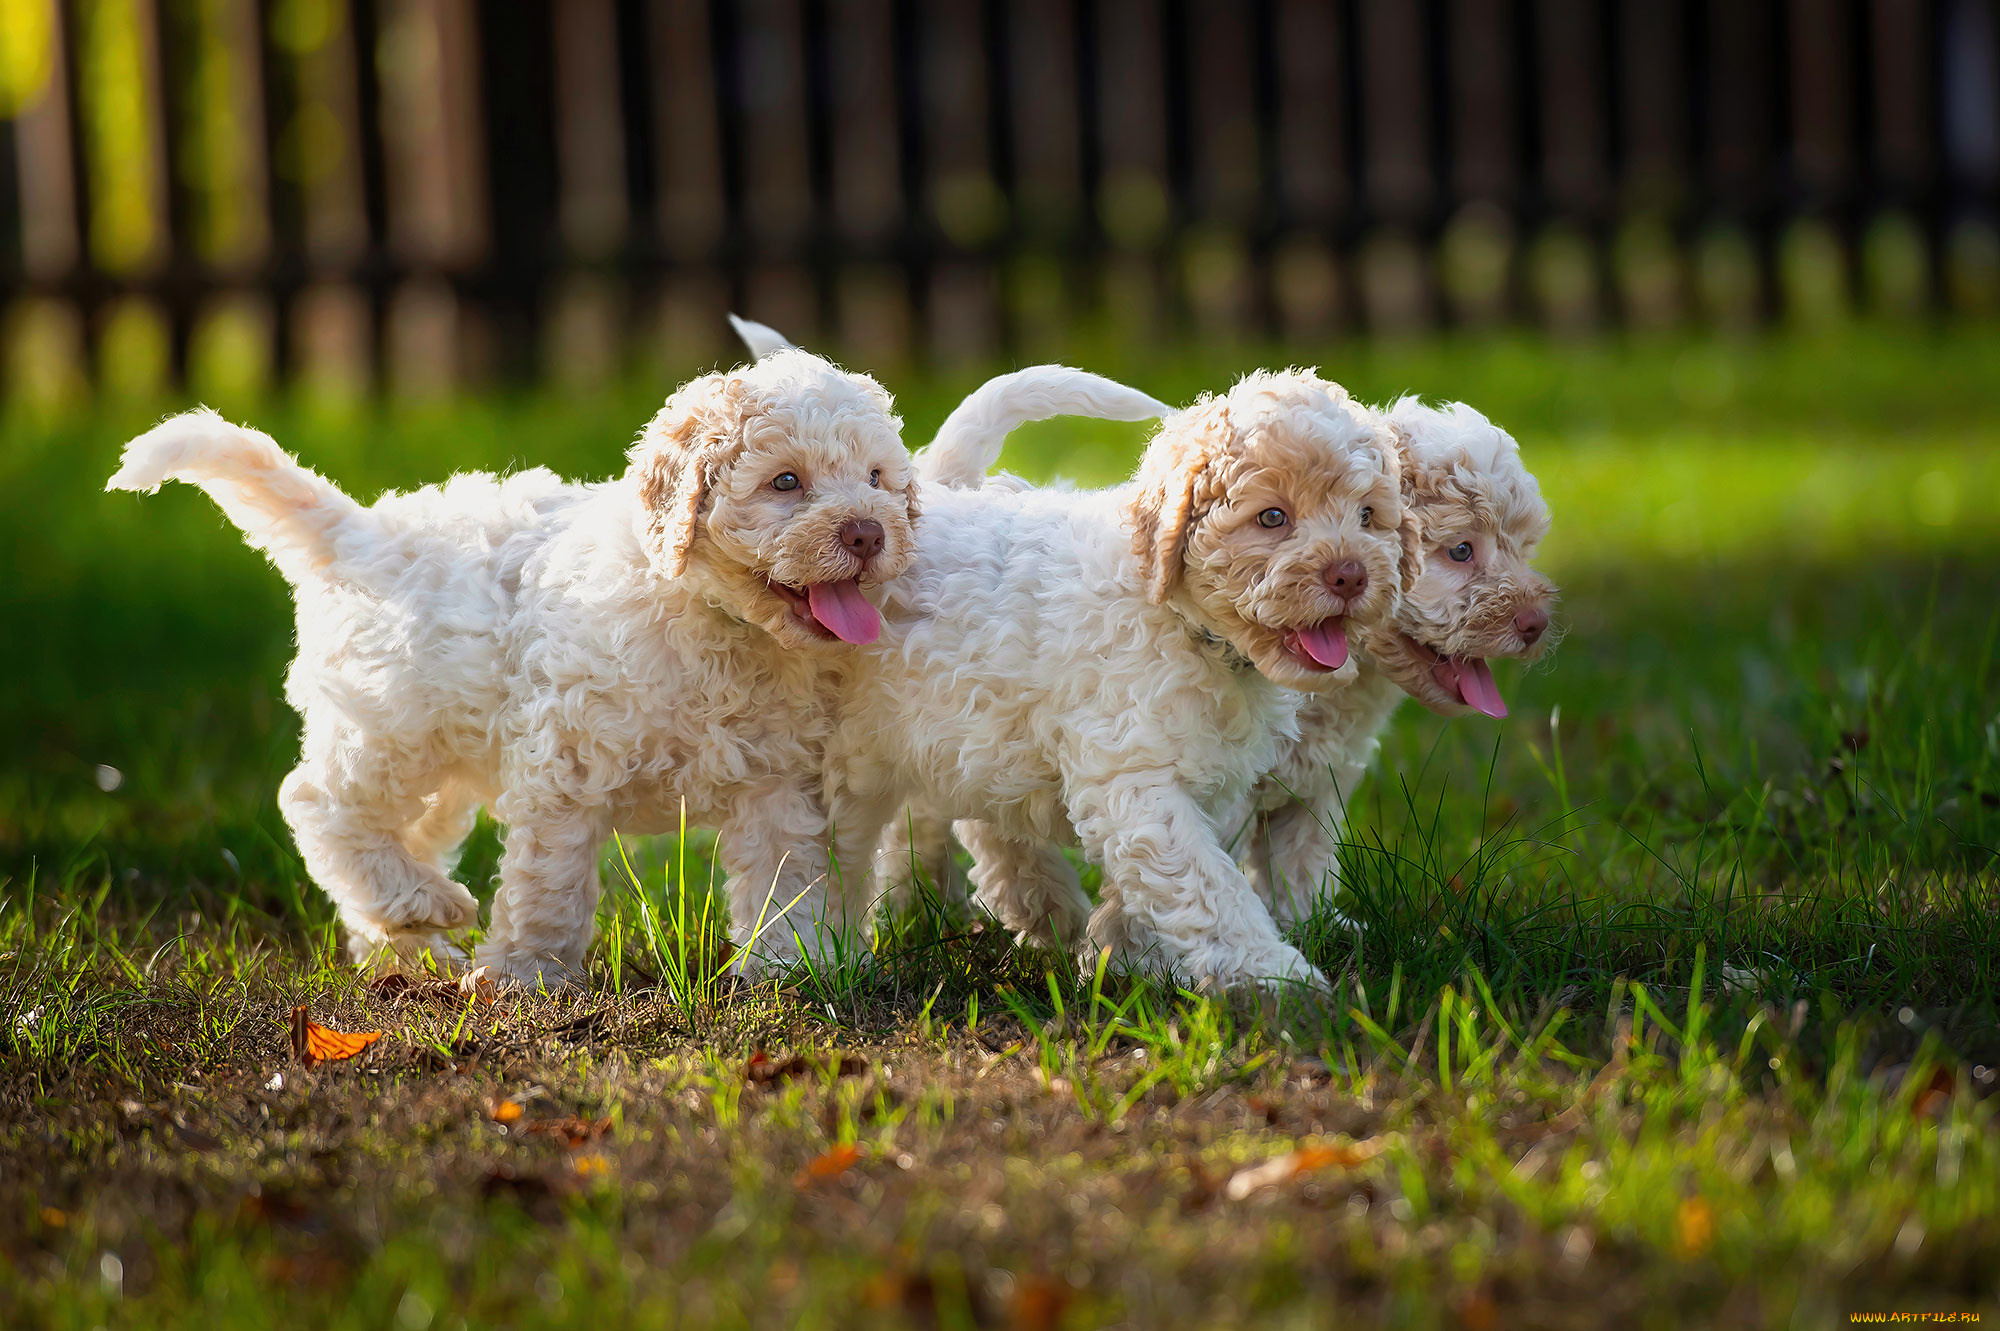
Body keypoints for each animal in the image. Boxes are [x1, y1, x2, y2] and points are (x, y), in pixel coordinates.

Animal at [107, 347, 916, 979]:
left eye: (877, 477)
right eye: (786, 482)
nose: (868, 533)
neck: (710, 619)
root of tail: (360, 532)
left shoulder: (776, 776)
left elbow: (788, 872)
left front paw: (794, 962)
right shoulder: (568, 763)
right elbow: (548, 882)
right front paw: (530, 975)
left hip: (442, 755)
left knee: (395, 833)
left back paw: (404, 940)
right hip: (390, 723)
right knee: (318, 803)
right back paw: (423, 905)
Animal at [820, 367, 1416, 991]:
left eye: (1368, 516)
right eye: (1272, 517)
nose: (1351, 574)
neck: (1190, 628)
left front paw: (1126, 952)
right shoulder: (1134, 775)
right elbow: (1208, 885)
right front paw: (1277, 979)